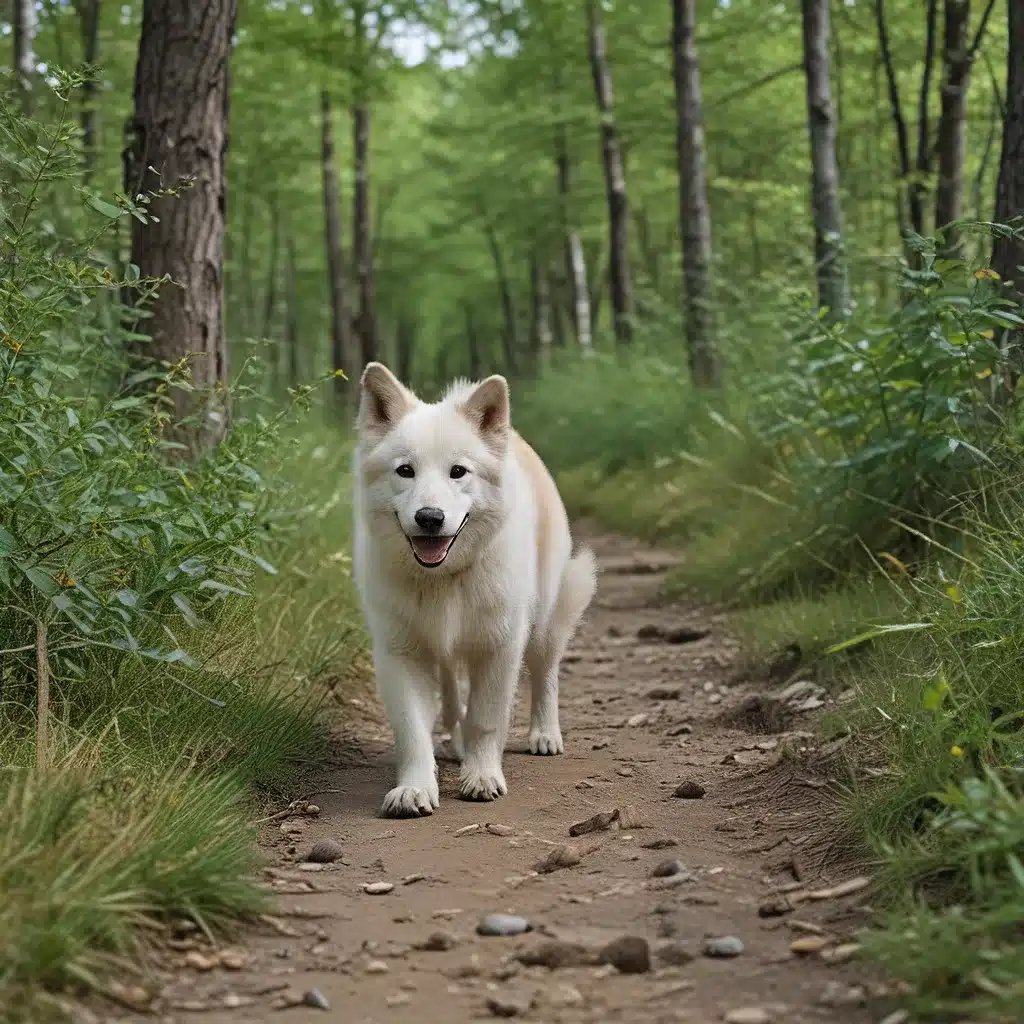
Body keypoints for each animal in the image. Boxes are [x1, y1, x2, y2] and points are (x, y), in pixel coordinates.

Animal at [352, 364, 598, 819]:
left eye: (458, 472)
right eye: (405, 471)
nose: (430, 518)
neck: (444, 578)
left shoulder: (500, 647)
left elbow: (487, 718)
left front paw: (482, 777)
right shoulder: (401, 653)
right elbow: (413, 731)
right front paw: (414, 789)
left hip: (543, 622)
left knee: (545, 669)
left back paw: (544, 734)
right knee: (451, 691)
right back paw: (456, 742)